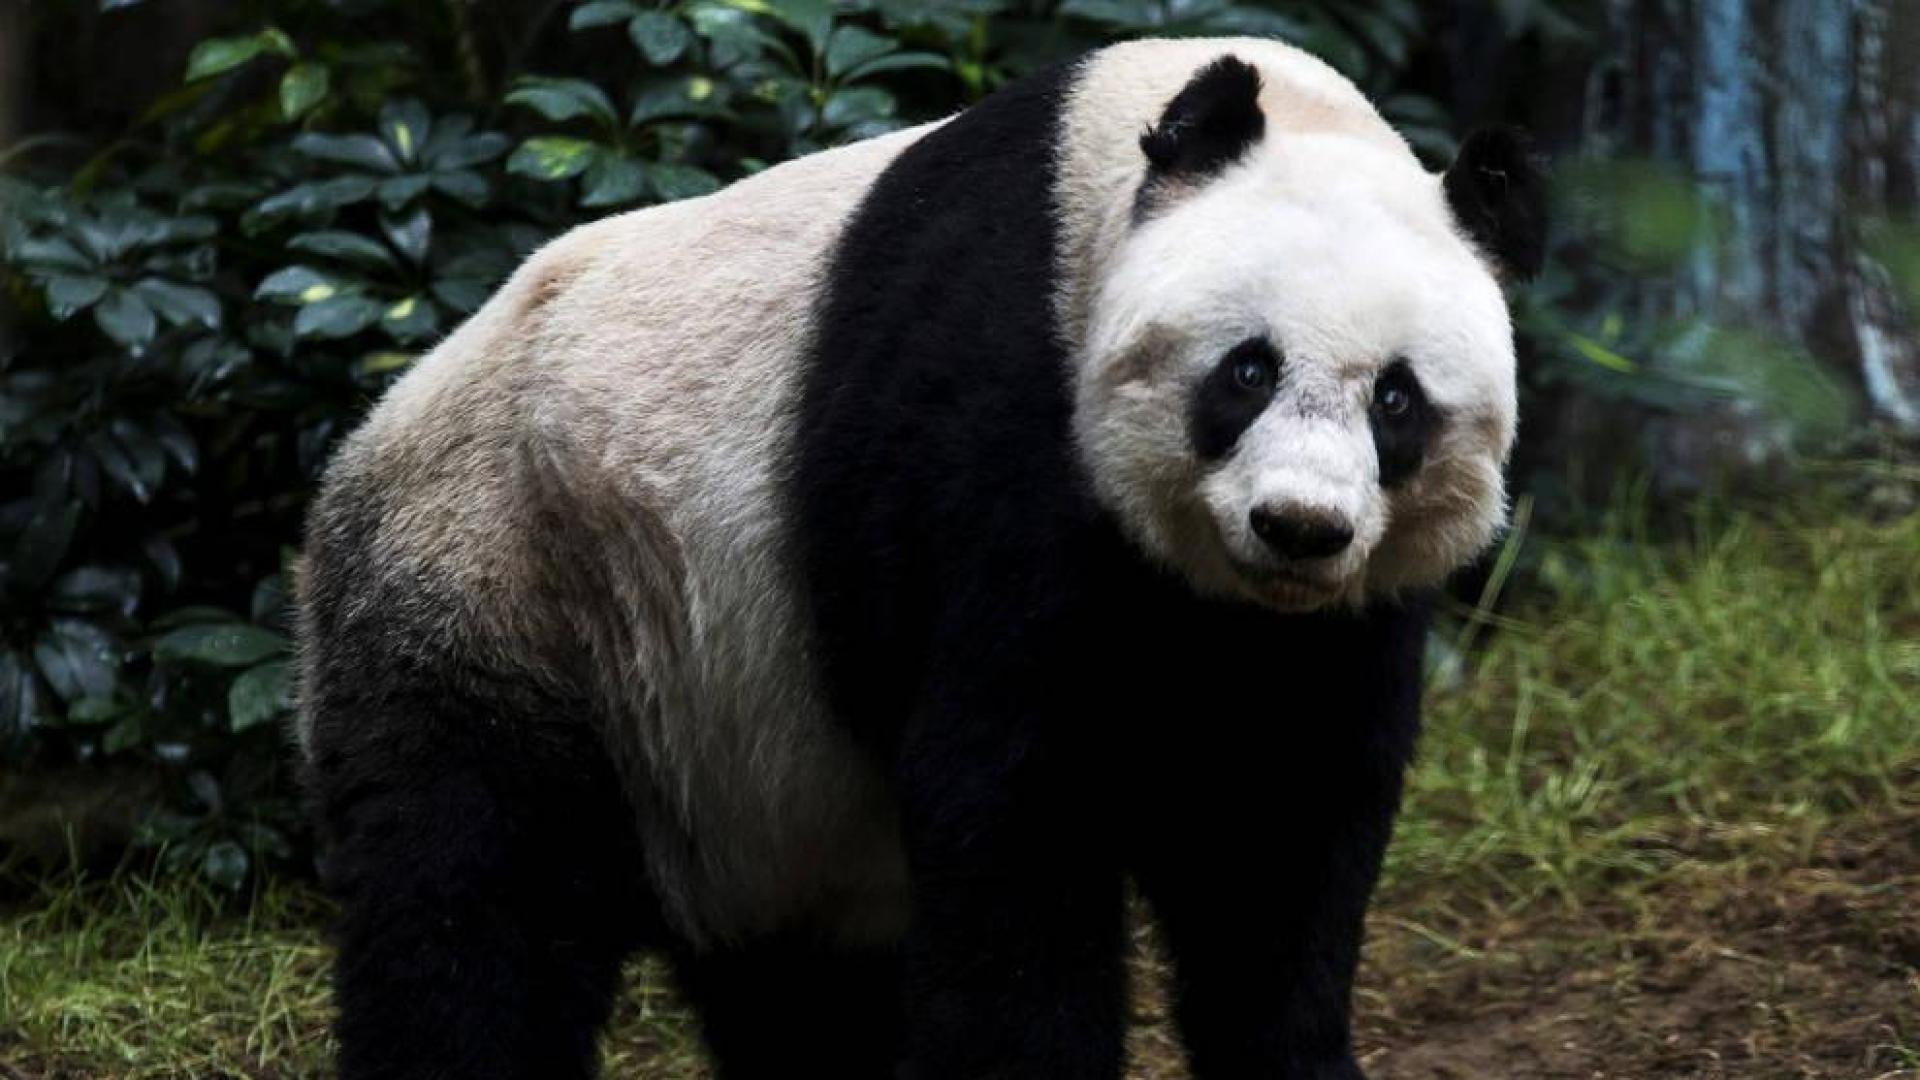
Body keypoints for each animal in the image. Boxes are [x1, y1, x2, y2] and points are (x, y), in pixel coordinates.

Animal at [295, 35, 1544, 1080]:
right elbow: (1012, 806)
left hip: (737, 757)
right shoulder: (997, 432)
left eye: (1397, 401)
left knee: (797, 991)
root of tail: (366, 438)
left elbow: (1278, 834)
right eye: (1247, 370)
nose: (1299, 527)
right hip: (513, 581)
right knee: (473, 902)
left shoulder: (1330, 626)